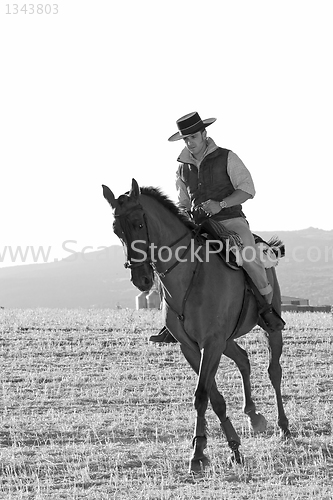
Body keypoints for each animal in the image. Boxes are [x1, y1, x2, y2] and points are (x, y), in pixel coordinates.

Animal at [102, 180, 290, 472]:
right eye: (116, 229)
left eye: (139, 223)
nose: (142, 279)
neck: (189, 273)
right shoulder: (192, 347)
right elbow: (214, 398)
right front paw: (231, 447)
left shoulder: (210, 344)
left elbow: (202, 395)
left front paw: (199, 453)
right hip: (227, 340)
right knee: (243, 359)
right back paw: (253, 415)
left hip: (271, 329)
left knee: (274, 371)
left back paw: (284, 427)